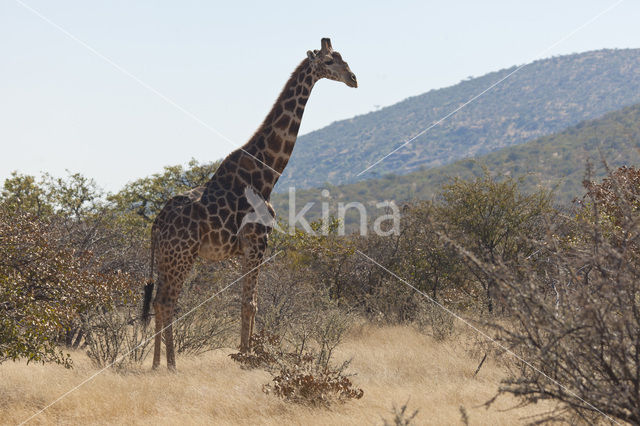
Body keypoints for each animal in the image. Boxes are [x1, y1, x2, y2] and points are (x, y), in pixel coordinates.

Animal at [142, 37, 358, 370]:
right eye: (329, 61)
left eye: (342, 57)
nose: (353, 79)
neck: (267, 174)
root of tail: (156, 223)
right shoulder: (257, 241)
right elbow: (250, 303)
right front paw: (246, 358)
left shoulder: (247, 247)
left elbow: (248, 303)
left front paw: (248, 353)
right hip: (182, 254)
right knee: (167, 301)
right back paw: (172, 365)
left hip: (167, 256)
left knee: (158, 300)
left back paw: (155, 364)